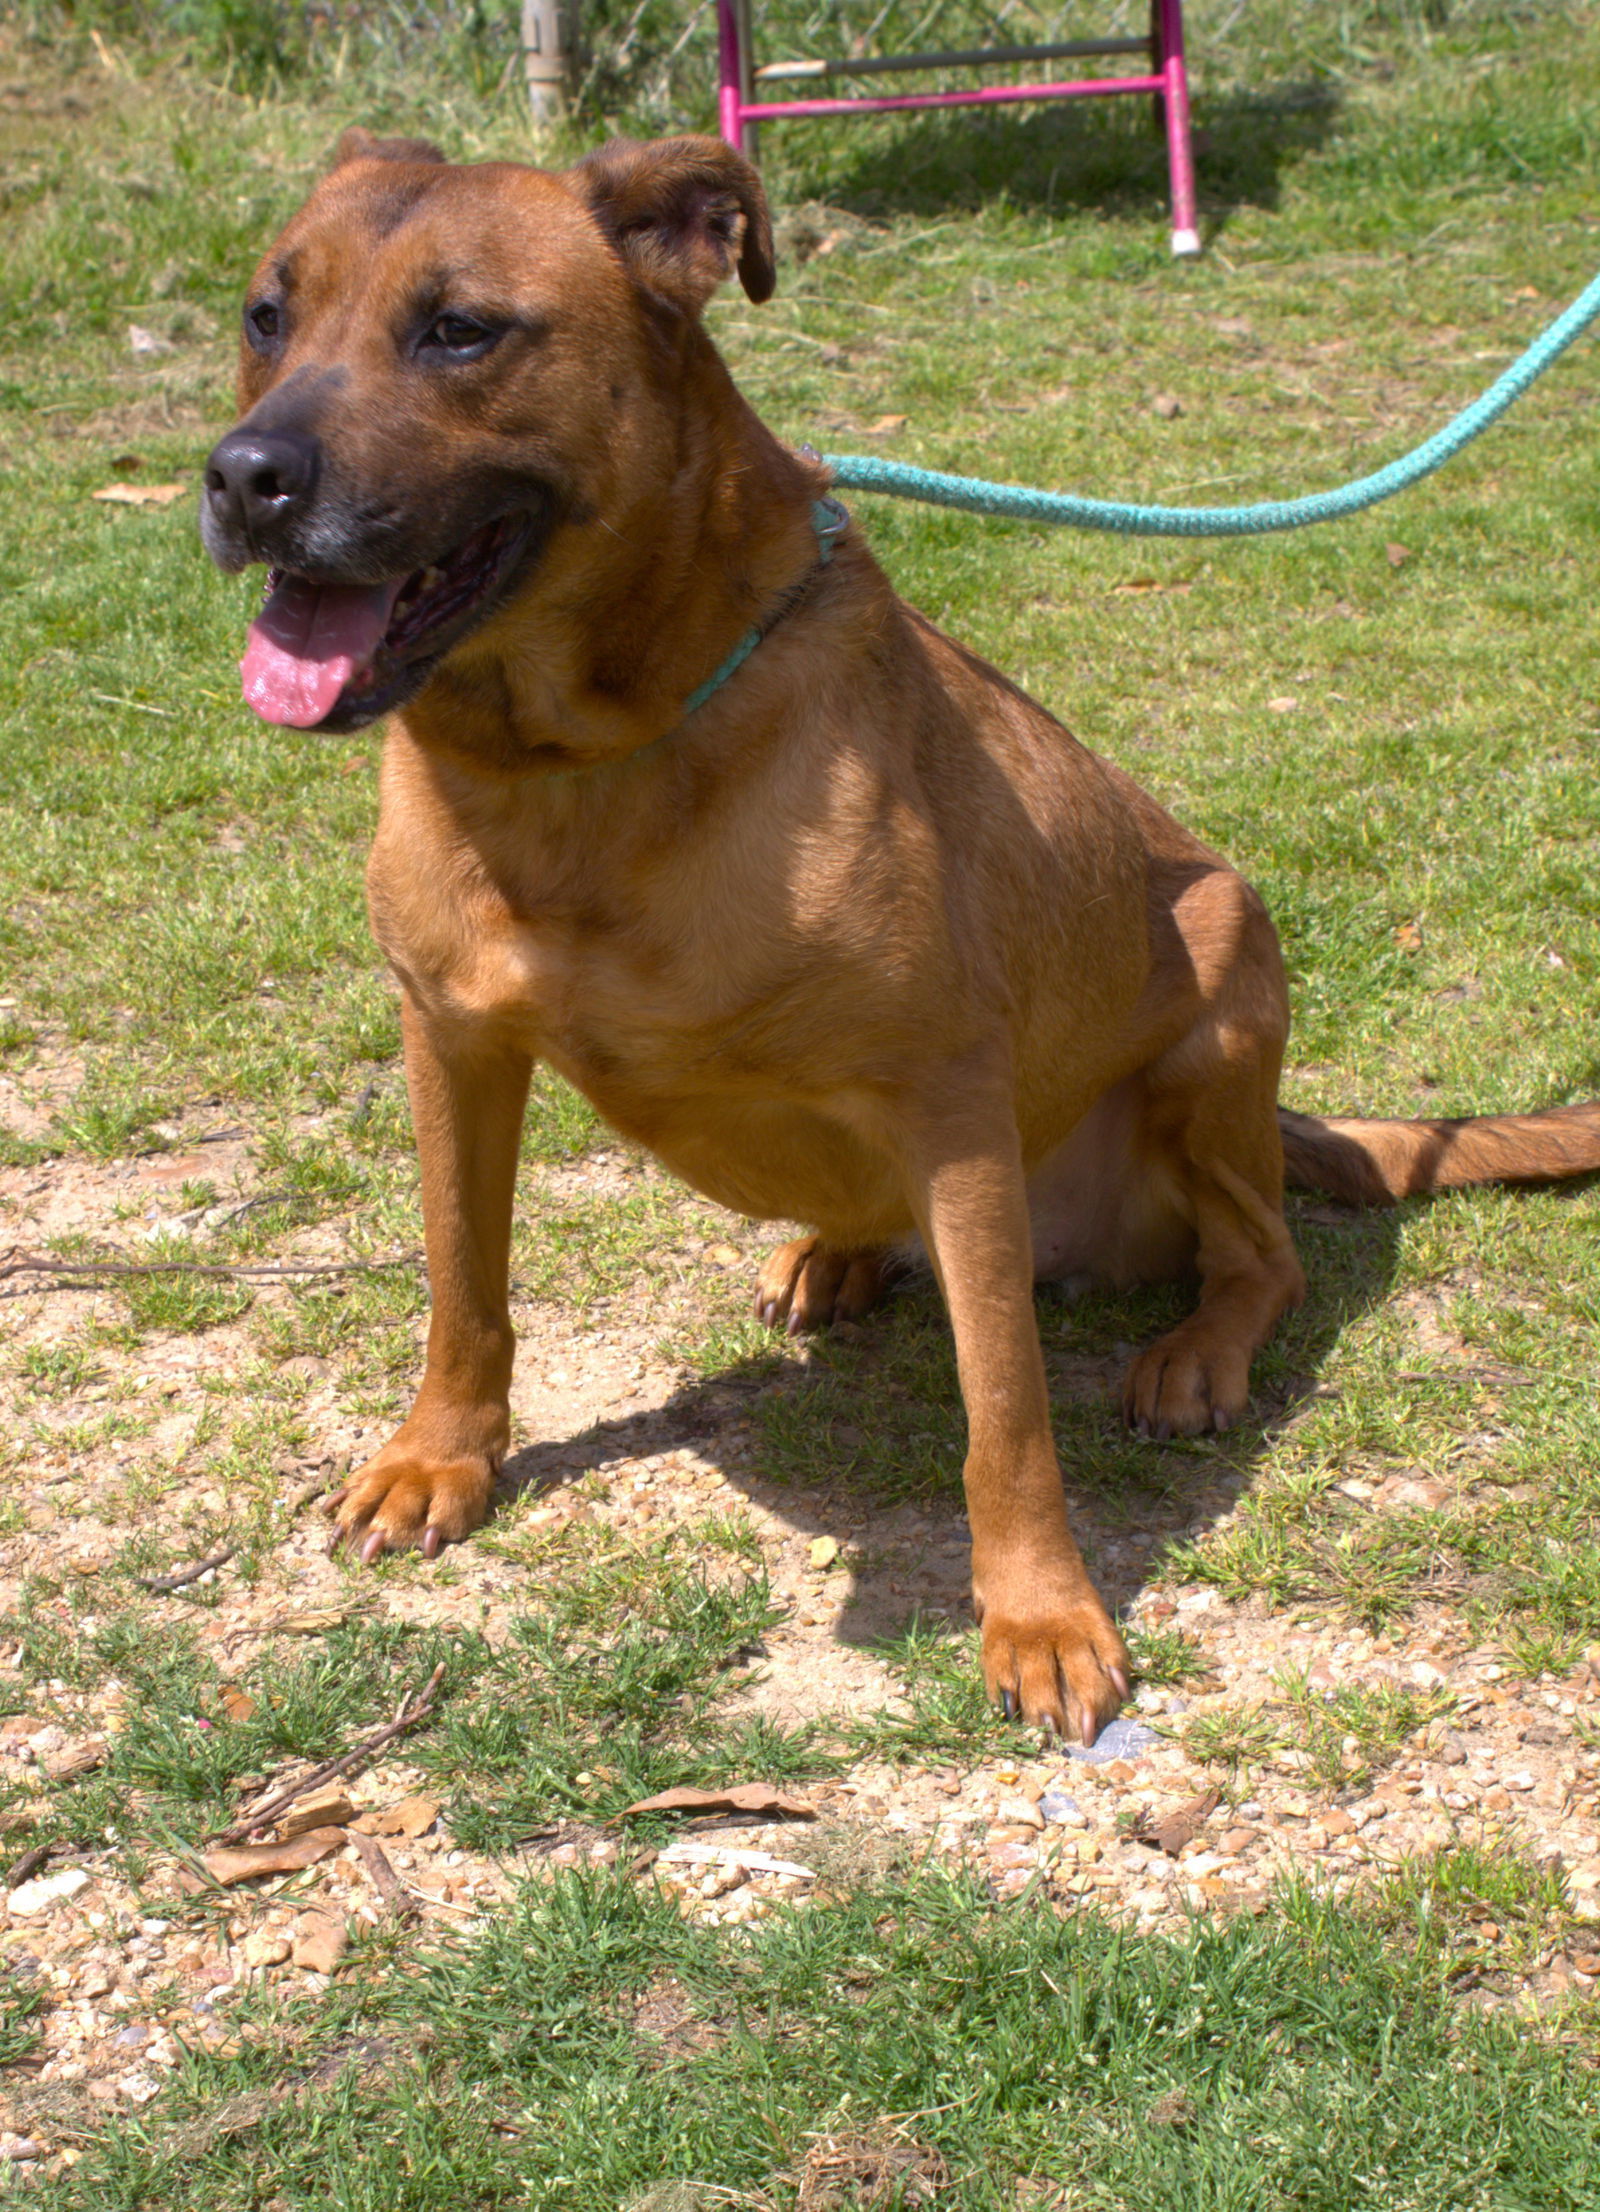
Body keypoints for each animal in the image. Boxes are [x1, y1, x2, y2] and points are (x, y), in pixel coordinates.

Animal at [206, 129, 1600, 1743]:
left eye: (459, 330)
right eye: (265, 315)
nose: (241, 480)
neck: (575, 768)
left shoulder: (949, 1109)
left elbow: (1006, 1415)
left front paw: (1043, 1614)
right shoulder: (451, 1039)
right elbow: (461, 1280)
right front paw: (442, 1452)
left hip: (1218, 981)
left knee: (1265, 1259)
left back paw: (1191, 1348)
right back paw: (838, 1254)